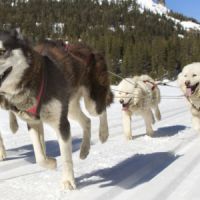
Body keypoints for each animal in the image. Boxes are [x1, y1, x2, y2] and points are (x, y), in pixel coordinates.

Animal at [0, 30, 113, 189]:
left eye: (2, 51)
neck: (33, 79)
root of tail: (90, 49)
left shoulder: (61, 124)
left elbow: (66, 156)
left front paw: (68, 181)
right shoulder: (33, 122)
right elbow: (40, 157)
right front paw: (51, 162)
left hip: (92, 102)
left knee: (101, 110)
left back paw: (103, 134)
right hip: (70, 108)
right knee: (87, 121)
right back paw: (84, 150)